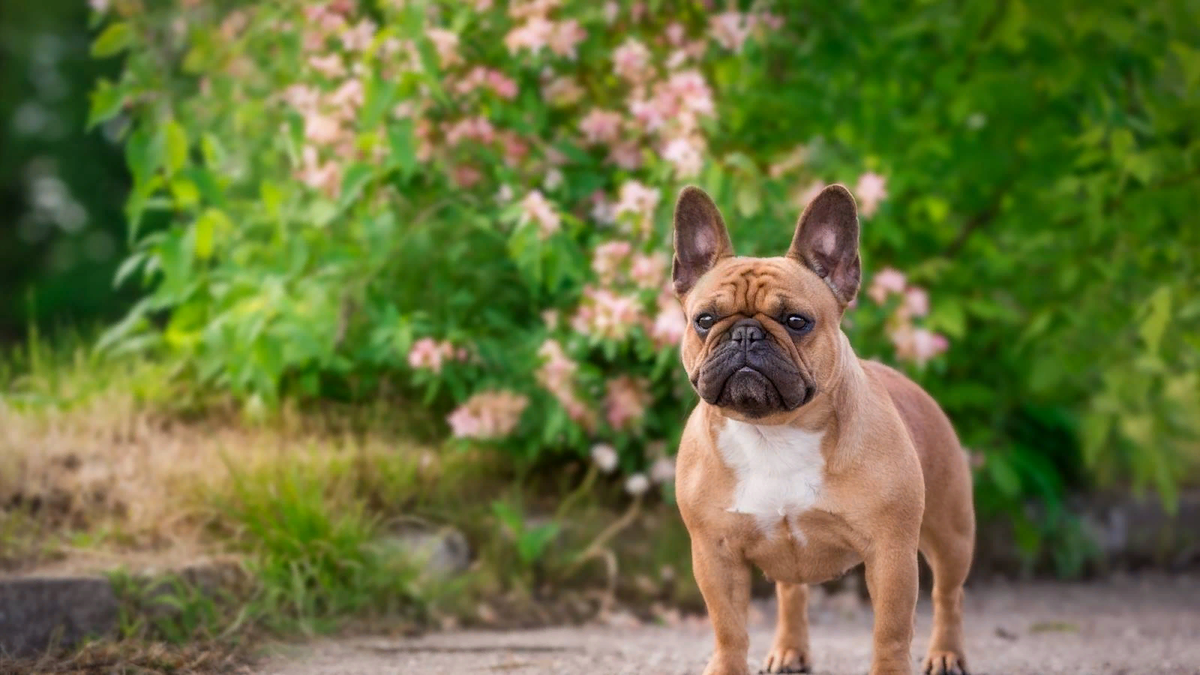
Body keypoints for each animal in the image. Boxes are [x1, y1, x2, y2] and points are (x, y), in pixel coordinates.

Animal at [676, 184, 974, 672]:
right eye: (704, 320)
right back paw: (789, 649)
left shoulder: (891, 553)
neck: (774, 432)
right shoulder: (713, 552)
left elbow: (891, 632)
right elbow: (729, 629)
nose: (745, 334)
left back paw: (946, 653)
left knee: (948, 594)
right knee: (791, 593)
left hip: (951, 533)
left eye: (797, 321)